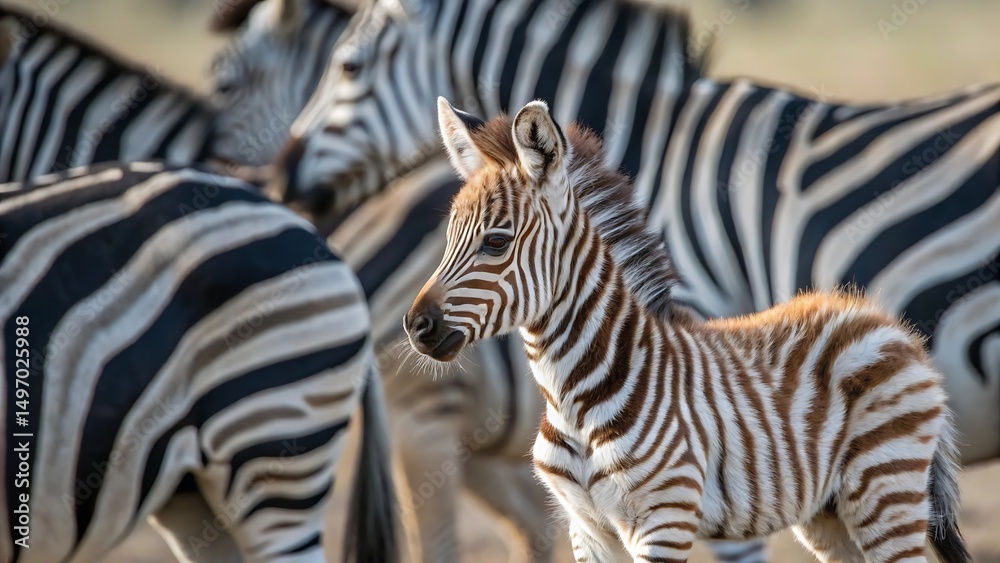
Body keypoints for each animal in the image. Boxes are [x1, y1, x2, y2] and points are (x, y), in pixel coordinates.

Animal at [406, 98, 971, 563]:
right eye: (449, 238)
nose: (416, 327)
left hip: (884, 489)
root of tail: (884, 321)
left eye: (496, 243)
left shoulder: (664, 519)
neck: (573, 399)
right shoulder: (585, 527)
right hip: (828, 513)